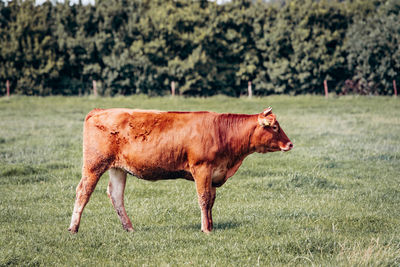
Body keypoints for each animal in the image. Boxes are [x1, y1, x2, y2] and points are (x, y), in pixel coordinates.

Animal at [69, 107, 292, 234]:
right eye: (274, 127)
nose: (290, 144)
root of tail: (100, 110)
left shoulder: (213, 173)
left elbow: (211, 200)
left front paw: (211, 225)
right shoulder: (202, 168)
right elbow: (204, 198)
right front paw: (206, 229)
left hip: (117, 168)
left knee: (116, 195)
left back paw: (129, 228)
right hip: (94, 164)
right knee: (83, 192)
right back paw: (73, 228)